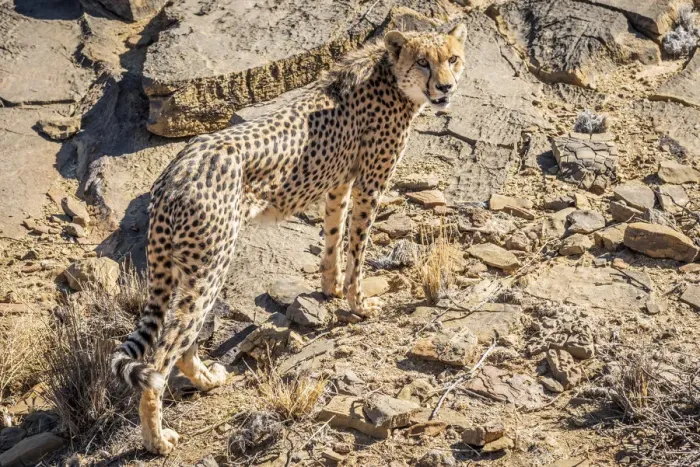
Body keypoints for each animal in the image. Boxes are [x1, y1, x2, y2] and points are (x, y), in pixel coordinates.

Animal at [111, 24, 467, 455]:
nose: (446, 87)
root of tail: (174, 172)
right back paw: (157, 439)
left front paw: (331, 288)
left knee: (180, 337)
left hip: (184, 266)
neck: (389, 76)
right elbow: (358, 247)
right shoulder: (370, 184)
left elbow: (333, 235)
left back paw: (207, 380)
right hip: (211, 263)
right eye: (423, 62)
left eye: (452, 58)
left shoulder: (339, 182)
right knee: (164, 354)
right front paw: (359, 302)